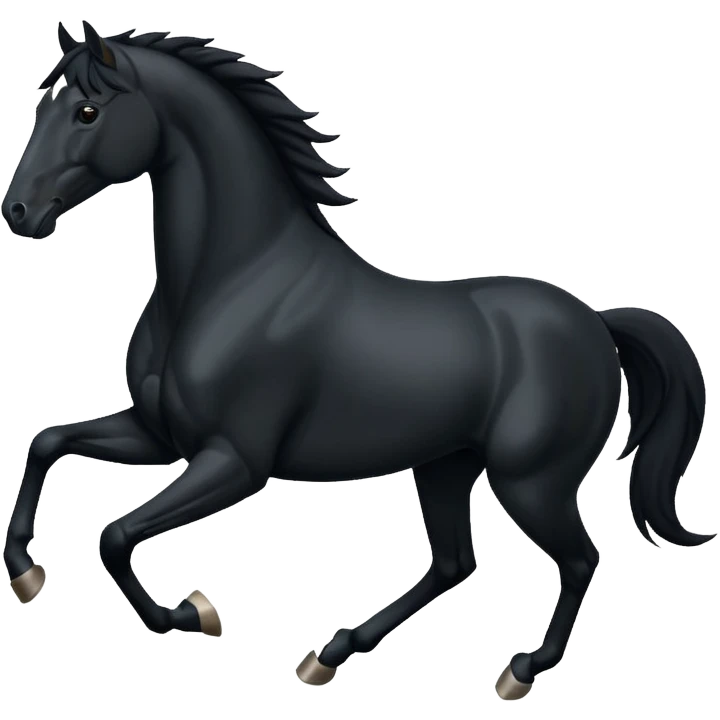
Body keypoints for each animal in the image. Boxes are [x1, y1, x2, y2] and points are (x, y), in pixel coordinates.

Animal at [2, 21, 713, 699]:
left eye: (87, 111)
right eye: (42, 104)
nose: (18, 212)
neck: (230, 281)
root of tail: (597, 321)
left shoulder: (235, 462)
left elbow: (114, 536)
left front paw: (195, 613)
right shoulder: (158, 436)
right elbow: (48, 443)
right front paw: (27, 575)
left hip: (531, 482)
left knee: (580, 560)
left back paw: (519, 672)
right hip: (446, 466)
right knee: (455, 562)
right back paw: (327, 656)